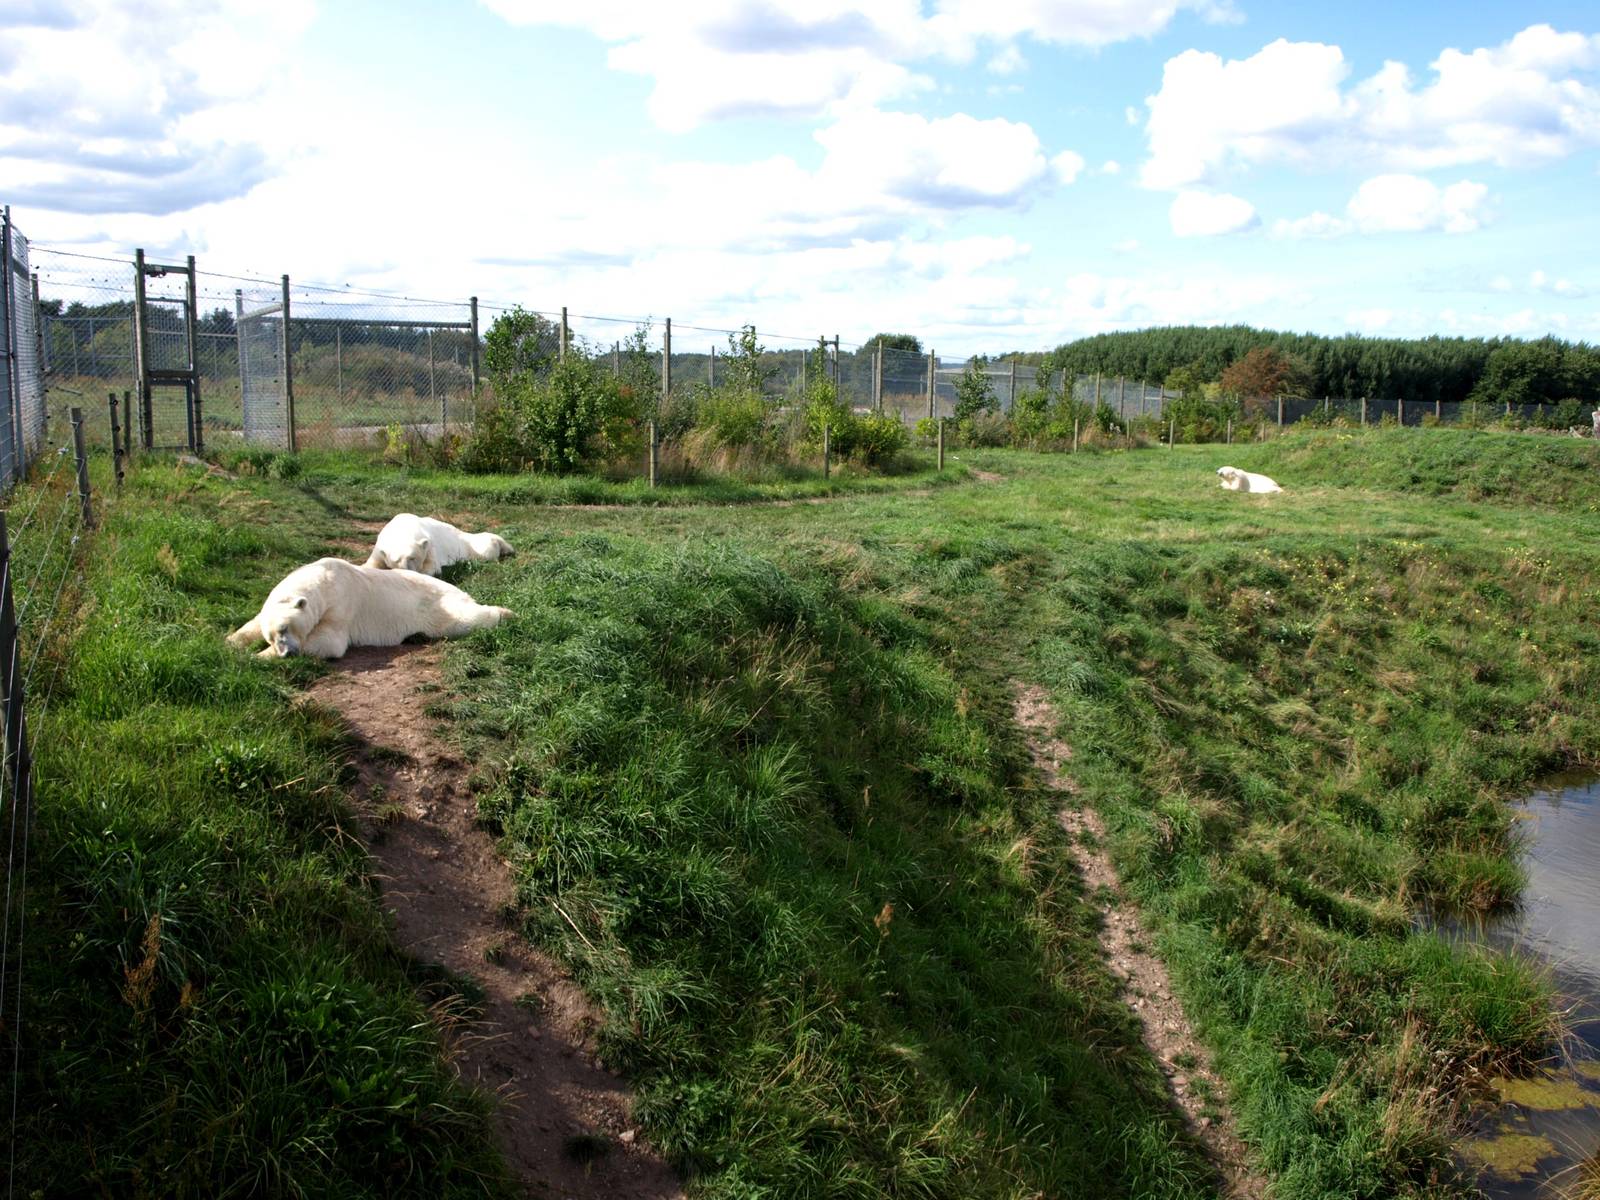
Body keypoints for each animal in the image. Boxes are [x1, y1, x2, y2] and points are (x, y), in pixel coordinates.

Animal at [227, 557, 513, 660]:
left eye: (286, 627)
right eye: (271, 636)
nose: (287, 652)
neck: (324, 578)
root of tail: (461, 591)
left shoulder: (341, 604)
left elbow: (330, 641)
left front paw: (258, 656)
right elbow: (252, 623)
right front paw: (230, 642)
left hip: (437, 607)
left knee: (464, 619)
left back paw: (507, 613)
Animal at [365, 513, 512, 577]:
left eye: (413, 557)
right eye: (396, 560)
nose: (407, 570)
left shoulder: (429, 545)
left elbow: (432, 567)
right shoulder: (379, 547)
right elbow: (371, 563)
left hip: (472, 545)